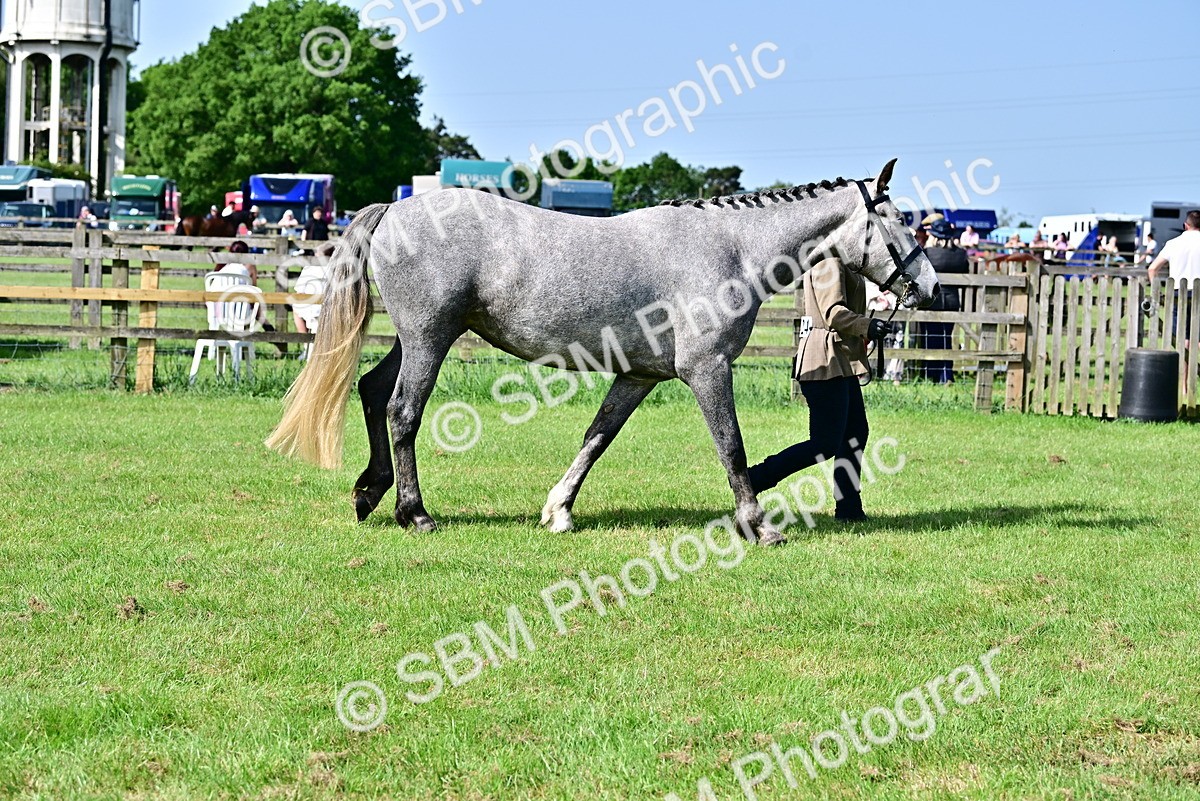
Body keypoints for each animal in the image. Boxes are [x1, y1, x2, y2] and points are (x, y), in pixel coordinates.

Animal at [265, 159, 939, 545]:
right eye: (902, 220)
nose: (930, 285)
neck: (730, 247)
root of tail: (395, 209)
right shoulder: (707, 370)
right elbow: (732, 447)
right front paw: (757, 525)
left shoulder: (638, 377)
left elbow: (596, 438)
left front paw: (558, 512)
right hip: (430, 337)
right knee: (403, 412)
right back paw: (415, 513)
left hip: (414, 339)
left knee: (373, 392)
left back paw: (369, 492)